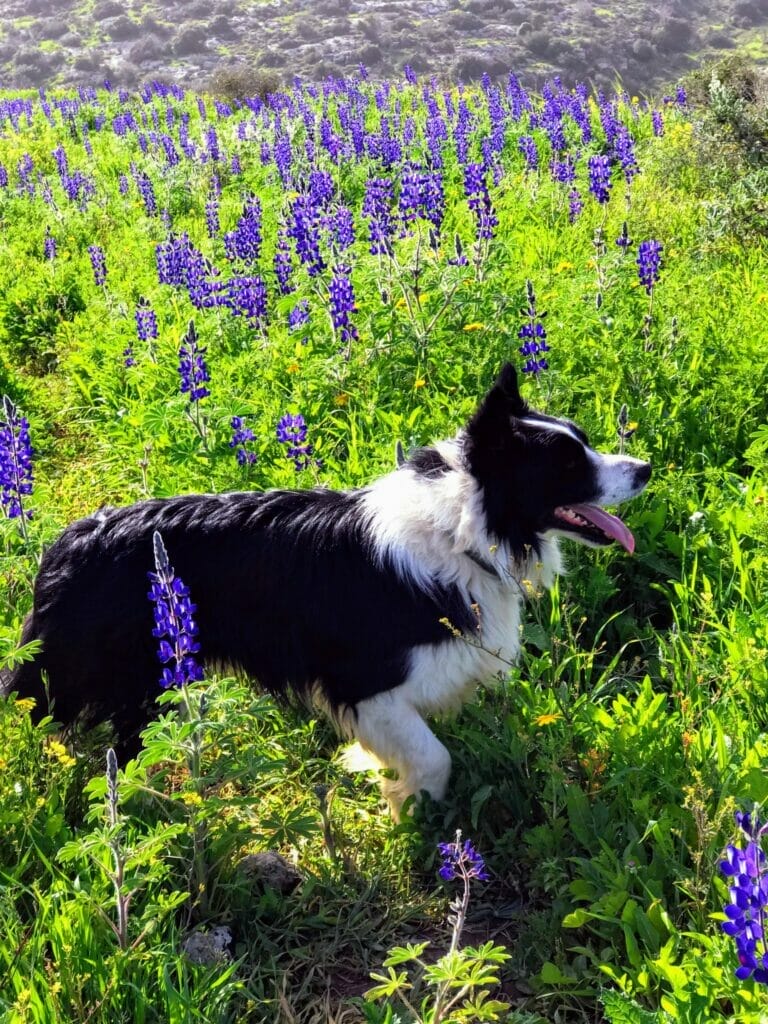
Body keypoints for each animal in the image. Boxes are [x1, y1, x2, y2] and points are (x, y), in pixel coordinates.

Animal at [1, 366, 651, 815]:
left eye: (584, 441)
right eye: (567, 463)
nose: (645, 469)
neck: (462, 530)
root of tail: (67, 544)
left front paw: (385, 782)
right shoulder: (367, 686)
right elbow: (434, 757)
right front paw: (410, 813)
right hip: (100, 679)